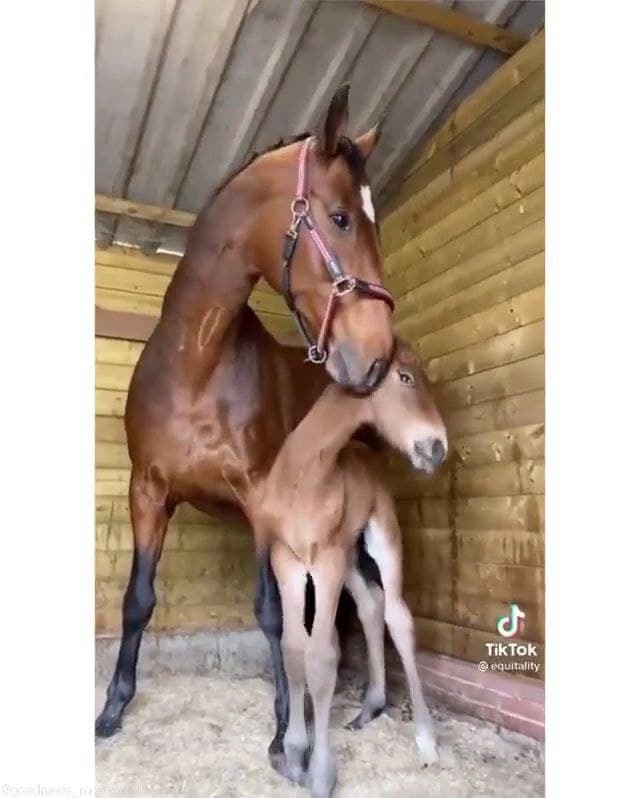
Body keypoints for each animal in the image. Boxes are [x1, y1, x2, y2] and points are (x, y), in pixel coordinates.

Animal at [95, 85, 396, 774]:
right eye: (341, 218)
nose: (376, 356)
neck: (197, 364)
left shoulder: (262, 502)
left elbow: (272, 612)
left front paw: (286, 732)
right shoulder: (148, 492)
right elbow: (138, 600)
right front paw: (113, 708)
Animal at [253, 340, 448, 796]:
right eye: (405, 377)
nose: (437, 449)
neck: (303, 475)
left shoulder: (324, 560)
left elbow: (322, 657)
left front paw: (321, 772)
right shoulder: (288, 561)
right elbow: (294, 650)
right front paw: (295, 754)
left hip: (377, 540)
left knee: (397, 615)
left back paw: (426, 740)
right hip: (350, 557)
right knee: (371, 605)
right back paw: (369, 708)